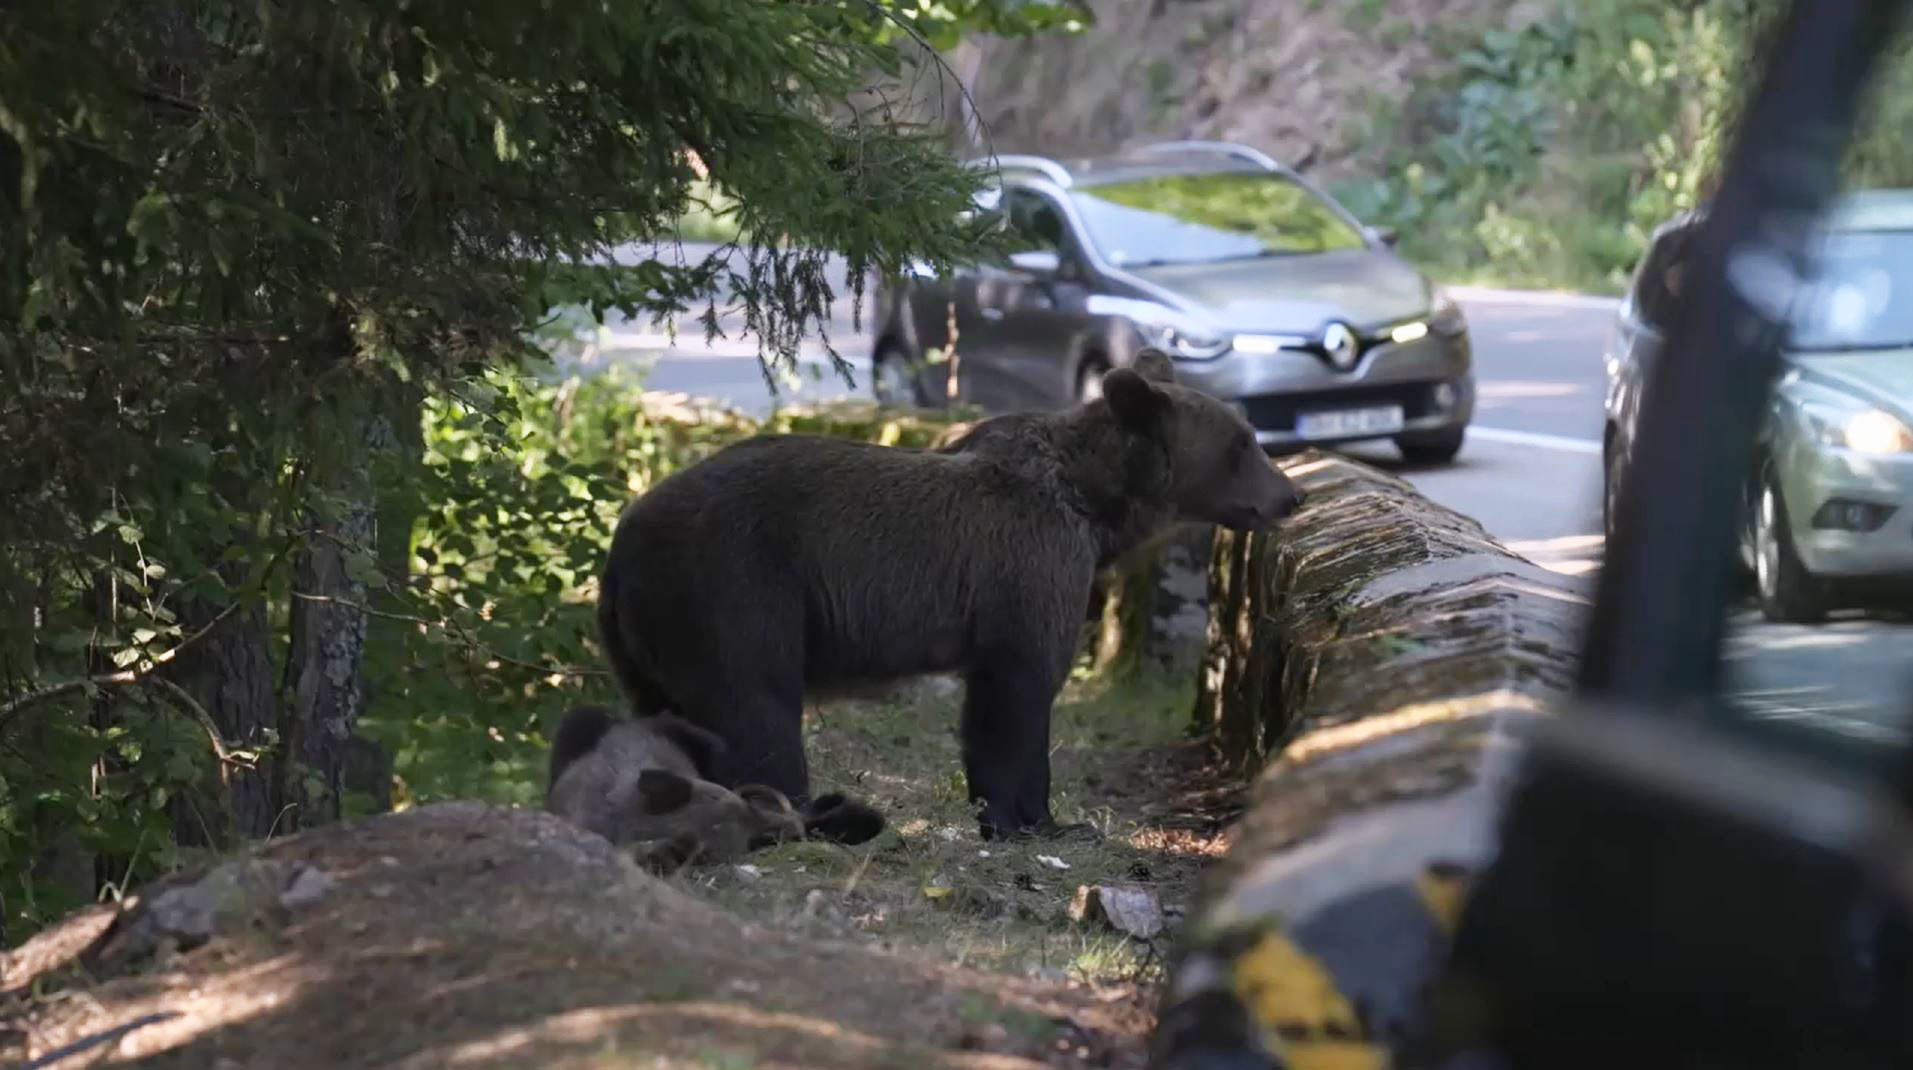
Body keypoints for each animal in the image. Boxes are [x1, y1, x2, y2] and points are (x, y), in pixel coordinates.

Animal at [600, 348, 1300, 842]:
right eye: (1243, 443)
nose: (1291, 494)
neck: (1098, 508)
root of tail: (625, 538)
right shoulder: (1029, 568)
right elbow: (1016, 700)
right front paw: (1038, 820)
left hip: (649, 635)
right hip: (735, 587)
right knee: (757, 709)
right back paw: (825, 817)